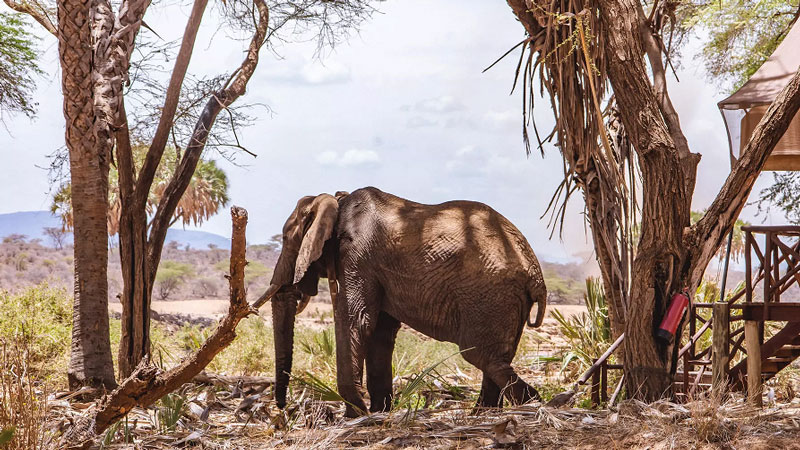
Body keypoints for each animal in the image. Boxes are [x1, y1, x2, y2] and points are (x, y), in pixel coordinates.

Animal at [256, 187, 547, 417]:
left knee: (481, 355)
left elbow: (356, 321)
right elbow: (379, 333)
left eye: (285, 238)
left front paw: (355, 415)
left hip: (489, 296)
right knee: (496, 358)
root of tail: (536, 275)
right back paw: (484, 414)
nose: (281, 407)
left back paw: (532, 405)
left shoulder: (357, 256)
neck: (337, 201)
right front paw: (378, 412)